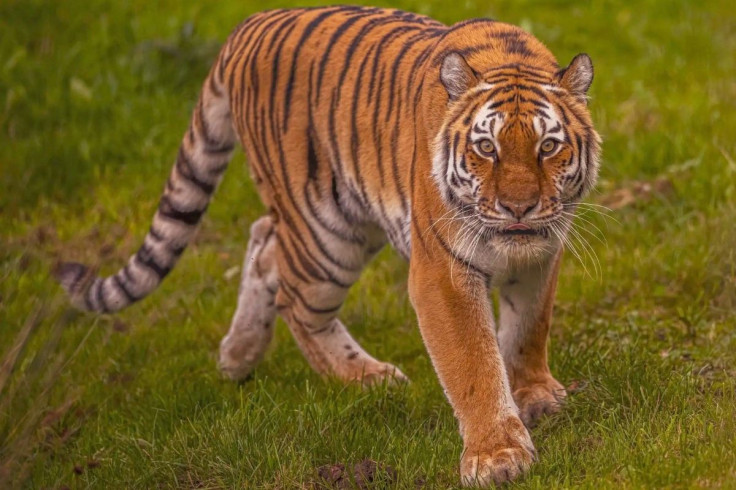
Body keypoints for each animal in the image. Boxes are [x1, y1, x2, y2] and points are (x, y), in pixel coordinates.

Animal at [55, 6, 601, 486]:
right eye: (486, 147)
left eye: (548, 147)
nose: (518, 208)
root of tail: (249, 24)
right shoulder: (443, 272)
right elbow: (472, 363)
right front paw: (497, 455)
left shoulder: (542, 253)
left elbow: (529, 326)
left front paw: (534, 394)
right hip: (325, 236)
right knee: (295, 299)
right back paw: (365, 376)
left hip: (345, 222)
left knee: (264, 240)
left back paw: (238, 356)